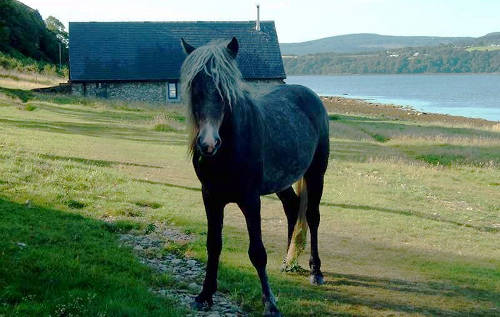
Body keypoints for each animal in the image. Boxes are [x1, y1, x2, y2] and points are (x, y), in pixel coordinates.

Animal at [180, 36, 328, 314]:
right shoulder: (210, 197)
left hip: (317, 173)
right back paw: (287, 261)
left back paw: (316, 271)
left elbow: (257, 252)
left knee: (312, 216)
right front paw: (205, 294)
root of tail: (310, 95)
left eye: (224, 88)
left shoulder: (251, 200)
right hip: (282, 182)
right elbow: (213, 244)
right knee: (293, 208)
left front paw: (270, 303)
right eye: (194, 85)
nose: (208, 143)